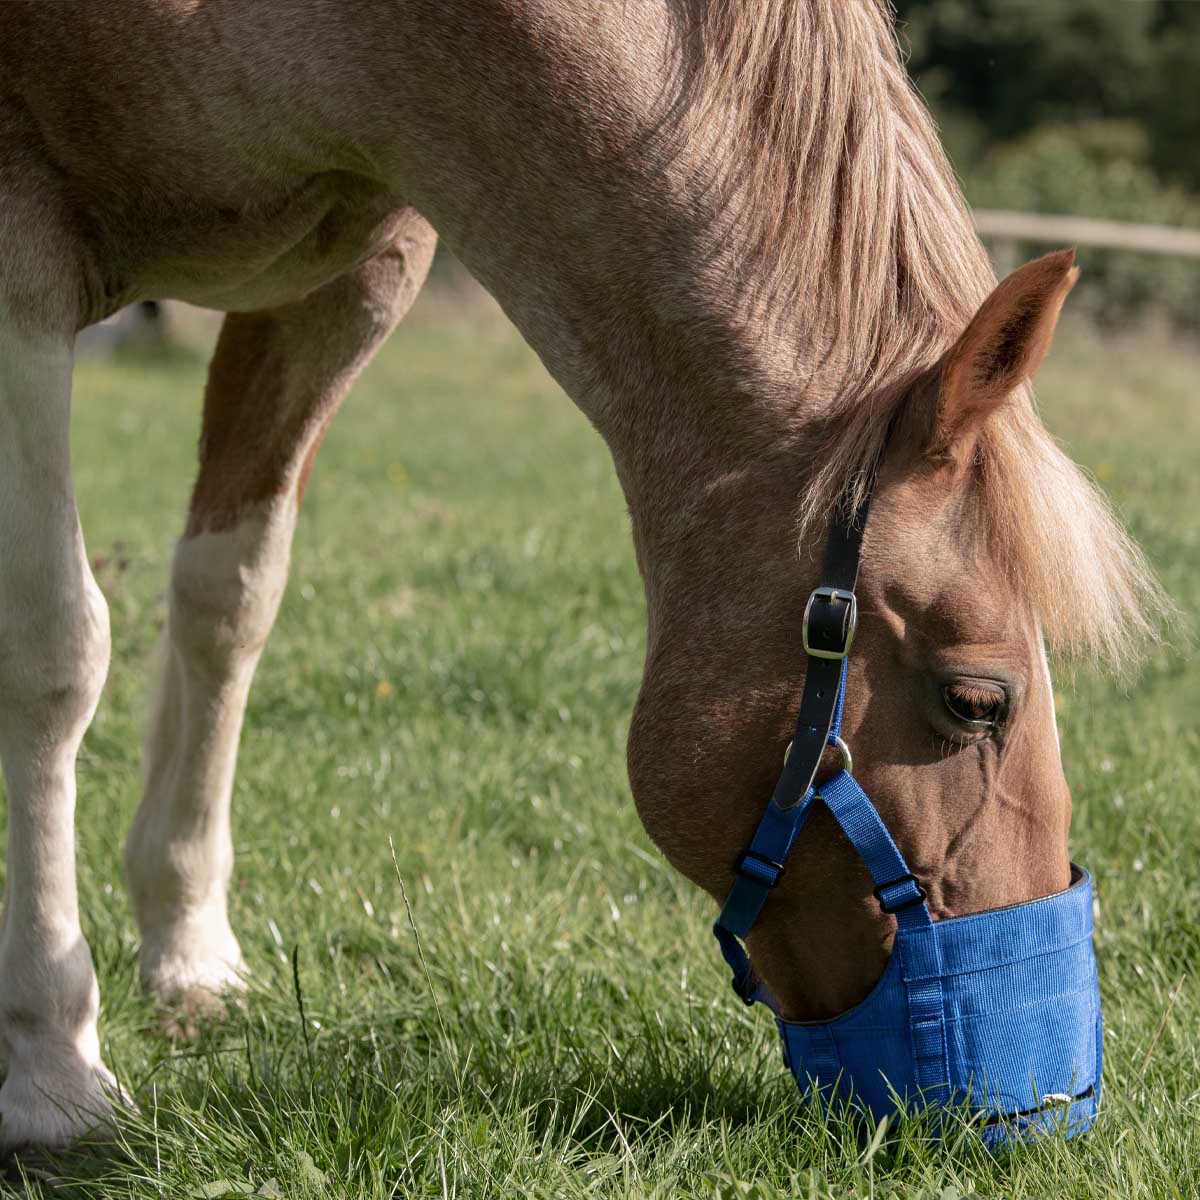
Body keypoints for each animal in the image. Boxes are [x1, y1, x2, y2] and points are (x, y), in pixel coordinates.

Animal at [0, 0, 1162, 1149]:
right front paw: (53, 1068)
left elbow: (228, 601)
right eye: (976, 701)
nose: (1046, 1105)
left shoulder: (346, 286)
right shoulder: (23, 274)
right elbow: (53, 655)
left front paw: (188, 946)